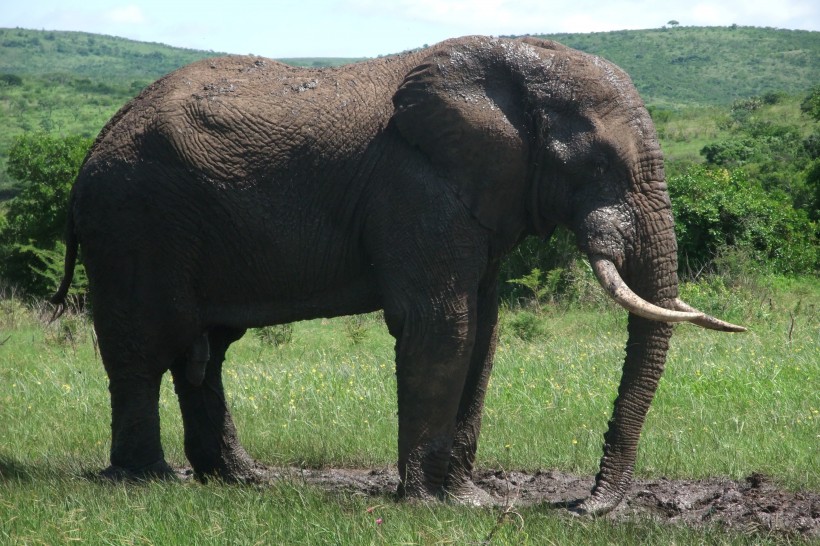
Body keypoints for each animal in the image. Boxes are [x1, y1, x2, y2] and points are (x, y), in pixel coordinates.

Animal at [49, 36, 744, 512]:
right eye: (598, 163)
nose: (585, 505)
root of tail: (94, 145)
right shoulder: (414, 186)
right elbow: (443, 325)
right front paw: (439, 506)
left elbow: (483, 331)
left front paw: (470, 500)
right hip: (133, 222)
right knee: (143, 348)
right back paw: (148, 480)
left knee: (205, 354)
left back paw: (242, 480)